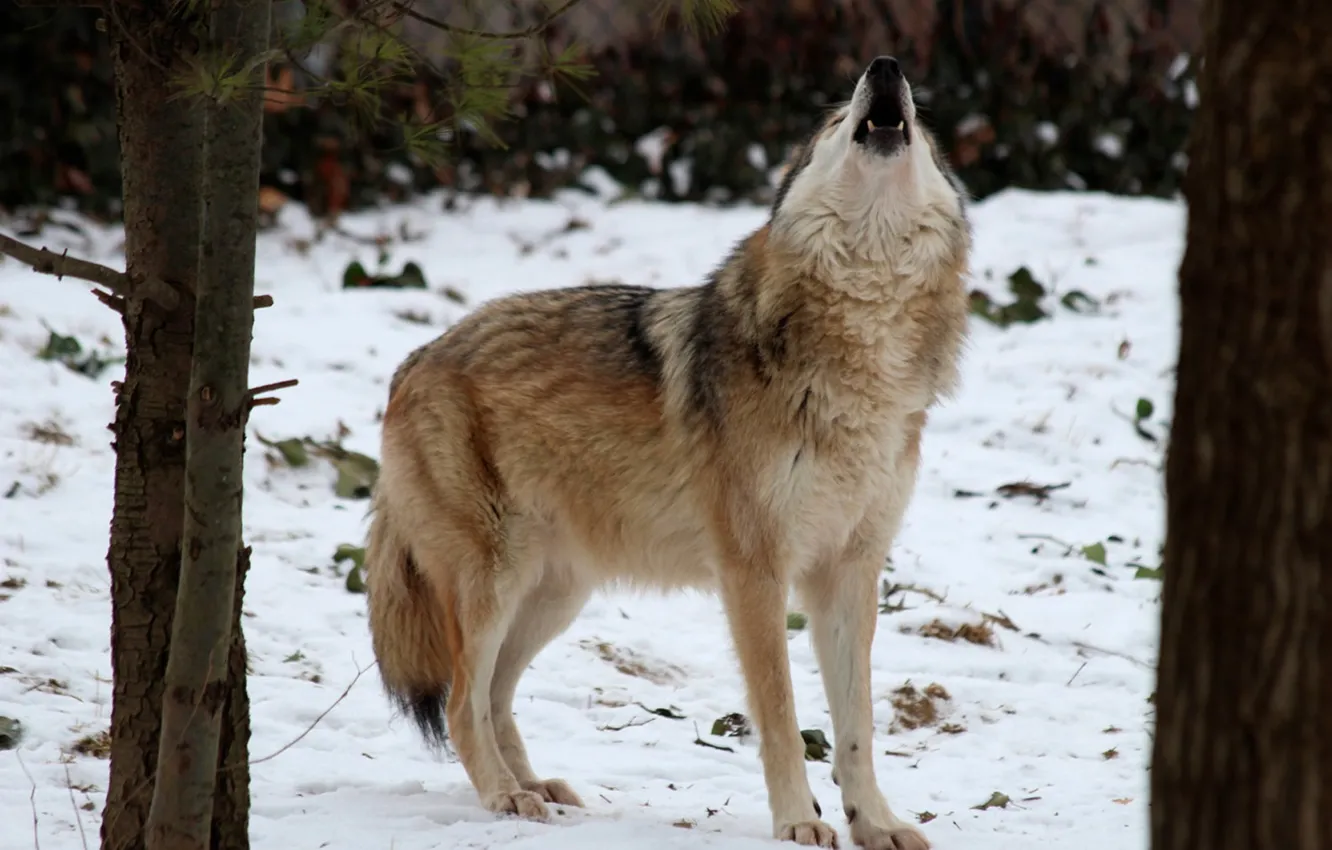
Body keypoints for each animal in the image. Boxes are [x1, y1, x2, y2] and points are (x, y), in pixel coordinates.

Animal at [364, 56, 971, 849]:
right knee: (464, 701)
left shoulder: (850, 573)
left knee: (493, 695)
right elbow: (781, 716)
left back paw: (538, 788)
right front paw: (797, 821)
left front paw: (876, 822)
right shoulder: (753, 572)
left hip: (553, 595)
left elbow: (858, 726)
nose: (885, 67)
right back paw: (505, 796)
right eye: (837, 120)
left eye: (921, 129)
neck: (861, 346)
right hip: (496, 582)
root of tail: (416, 360)